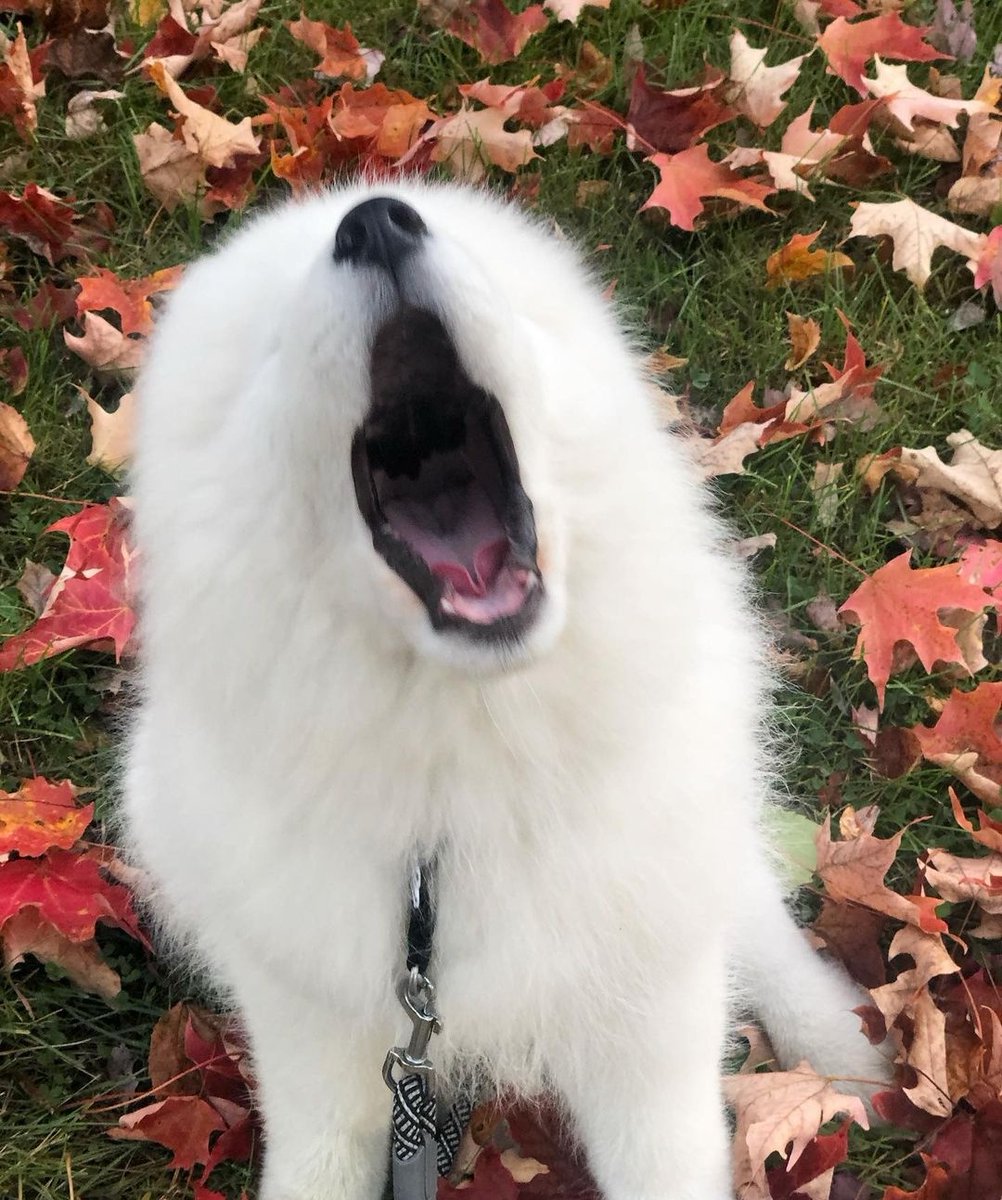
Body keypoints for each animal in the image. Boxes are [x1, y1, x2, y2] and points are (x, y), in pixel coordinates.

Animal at [123, 180, 888, 1200]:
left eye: (488, 272)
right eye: (270, 342)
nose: (375, 223)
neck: (462, 772)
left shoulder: (647, 1023)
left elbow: (667, 1160)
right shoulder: (316, 1034)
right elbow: (318, 1160)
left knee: (754, 908)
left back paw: (846, 1048)